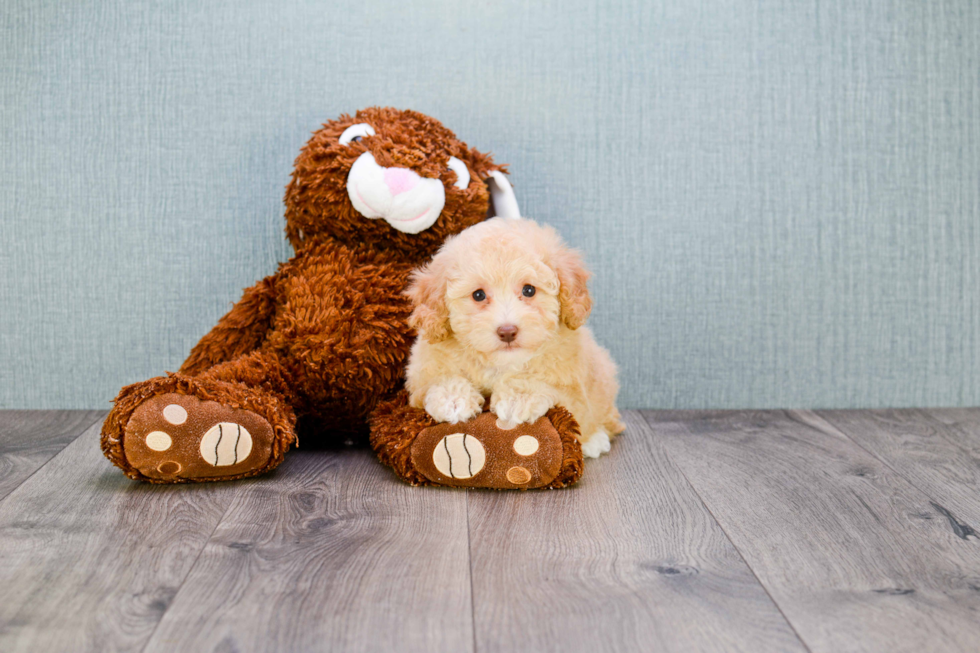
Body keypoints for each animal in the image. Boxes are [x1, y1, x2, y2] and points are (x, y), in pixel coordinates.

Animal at [404, 216, 620, 456]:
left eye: (529, 290)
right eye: (478, 295)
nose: (507, 331)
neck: (500, 363)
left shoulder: (573, 386)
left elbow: (549, 385)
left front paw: (518, 398)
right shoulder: (421, 374)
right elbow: (439, 379)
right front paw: (453, 399)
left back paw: (595, 440)